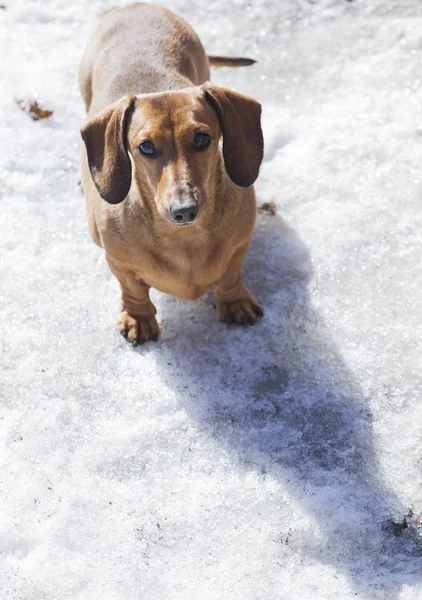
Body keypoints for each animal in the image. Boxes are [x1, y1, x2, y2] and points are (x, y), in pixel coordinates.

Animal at [79, 2, 264, 344]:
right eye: (146, 147)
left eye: (202, 139)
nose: (184, 210)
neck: (184, 239)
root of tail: (136, 7)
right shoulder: (119, 262)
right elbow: (132, 288)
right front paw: (138, 318)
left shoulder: (239, 246)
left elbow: (230, 274)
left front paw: (234, 301)